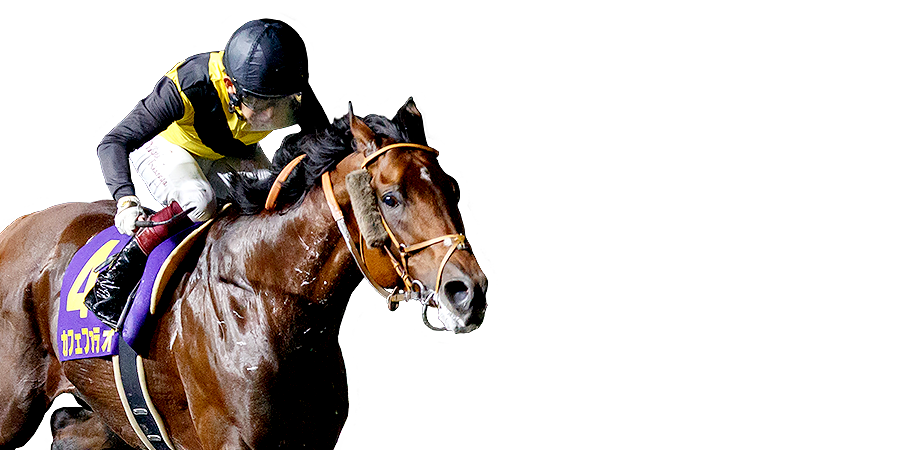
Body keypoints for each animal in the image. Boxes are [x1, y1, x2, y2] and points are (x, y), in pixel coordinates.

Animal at [0, 110, 486, 450]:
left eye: (451, 189)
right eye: (390, 198)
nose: (468, 291)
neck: (270, 299)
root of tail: (13, 229)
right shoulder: (229, 439)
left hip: (87, 422)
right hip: (11, 408)